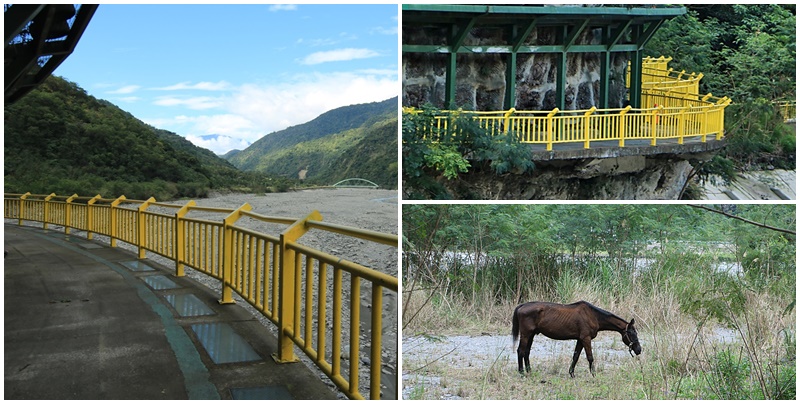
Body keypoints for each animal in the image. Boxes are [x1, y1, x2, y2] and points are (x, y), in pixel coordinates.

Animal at [512, 302, 644, 378]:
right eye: (632, 333)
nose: (639, 350)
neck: (593, 315)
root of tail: (521, 306)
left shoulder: (580, 340)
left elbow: (575, 356)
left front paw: (572, 373)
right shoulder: (586, 339)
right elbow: (590, 357)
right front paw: (594, 375)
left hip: (531, 335)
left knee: (526, 352)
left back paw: (529, 371)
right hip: (526, 334)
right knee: (521, 351)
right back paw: (522, 373)